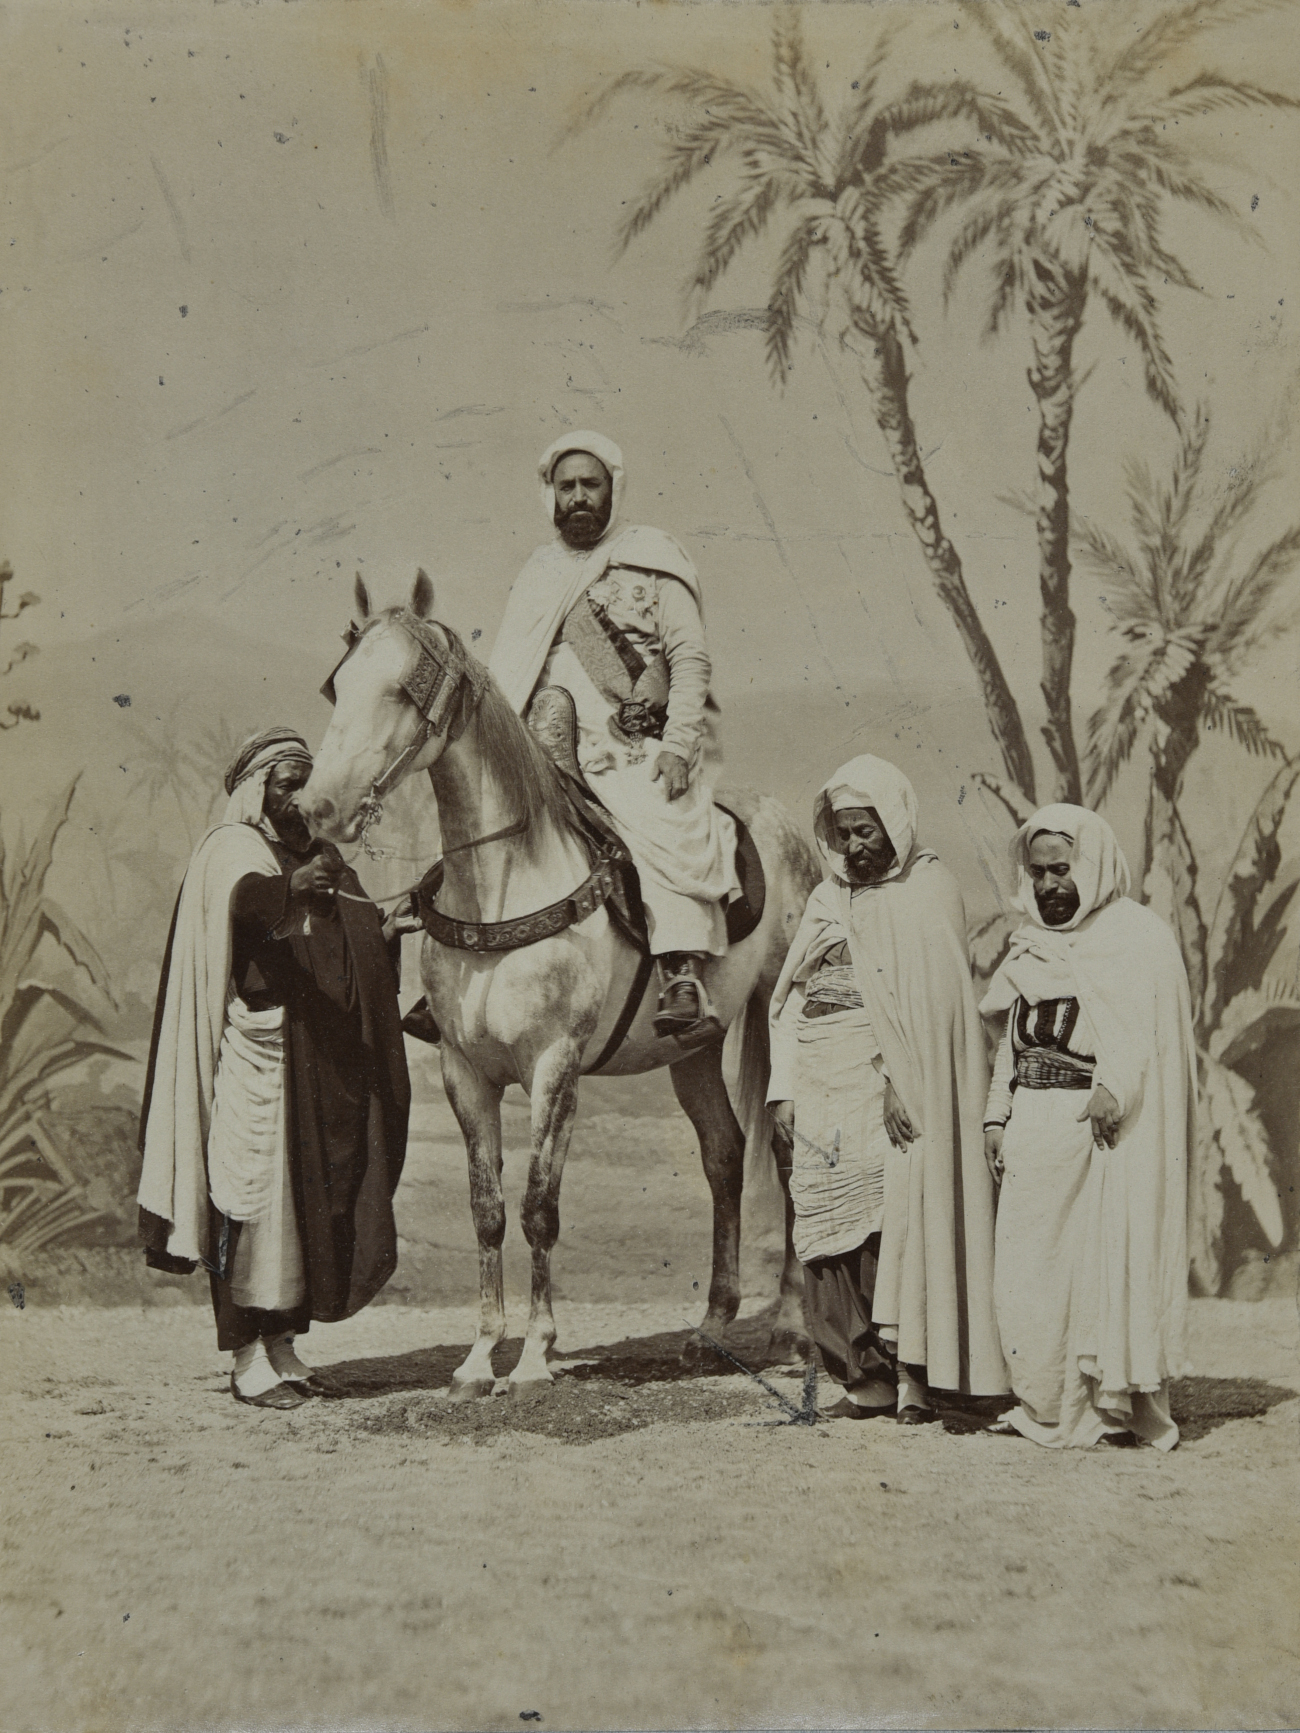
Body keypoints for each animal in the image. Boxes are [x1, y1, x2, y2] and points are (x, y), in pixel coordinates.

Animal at [299, 575, 818, 1400]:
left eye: (404, 689)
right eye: (338, 684)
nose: (318, 808)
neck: (504, 884)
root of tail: (788, 830)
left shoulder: (554, 1065)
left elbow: (540, 1203)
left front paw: (537, 1354)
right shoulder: (466, 1071)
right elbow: (486, 1207)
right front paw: (480, 1355)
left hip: (780, 1020)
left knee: (789, 1152)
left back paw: (793, 1330)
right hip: (694, 1050)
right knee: (725, 1154)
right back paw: (710, 1327)